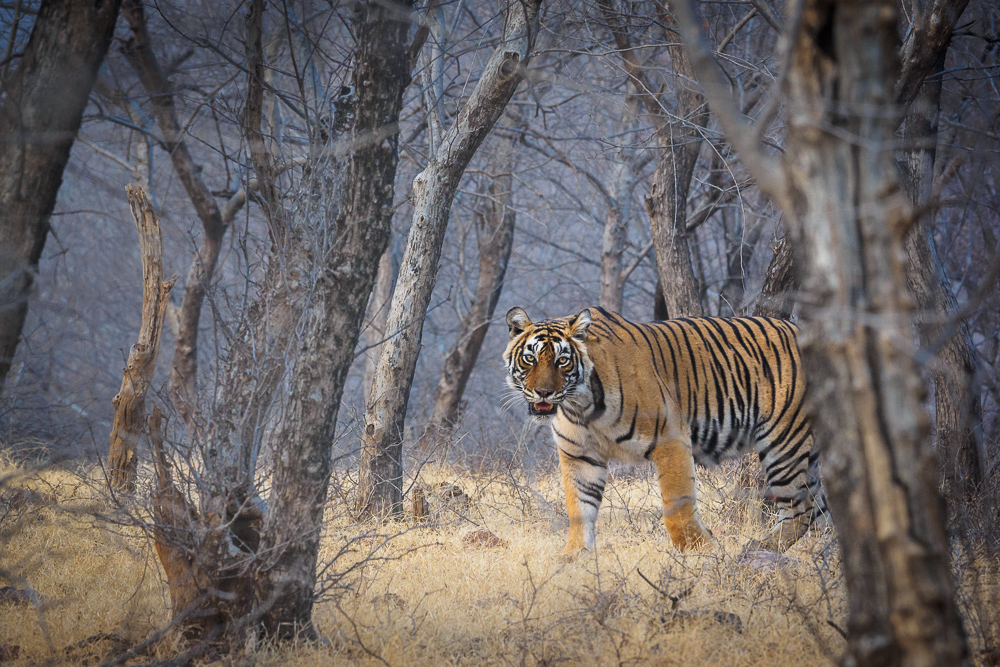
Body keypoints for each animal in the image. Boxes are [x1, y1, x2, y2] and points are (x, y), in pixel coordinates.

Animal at [504, 306, 824, 556]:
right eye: (530, 359)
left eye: (562, 361)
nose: (543, 392)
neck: (580, 406)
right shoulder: (580, 455)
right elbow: (579, 509)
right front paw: (574, 556)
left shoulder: (670, 440)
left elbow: (677, 505)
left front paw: (700, 550)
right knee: (819, 508)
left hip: (783, 441)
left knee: (801, 509)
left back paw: (757, 549)